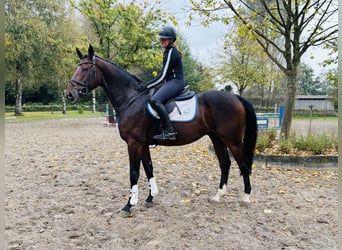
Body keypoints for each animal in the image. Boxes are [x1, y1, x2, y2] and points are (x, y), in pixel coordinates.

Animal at [65, 44, 256, 217]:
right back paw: (218, 195)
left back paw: (246, 197)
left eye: (85, 69)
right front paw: (150, 198)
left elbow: (134, 173)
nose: (69, 94)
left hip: (232, 140)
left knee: (244, 164)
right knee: (225, 163)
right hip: (216, 138)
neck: (131, 99)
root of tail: (235, 97)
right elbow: (149, 168)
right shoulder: (143, 144)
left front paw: (129, 205)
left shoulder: (134, 144)